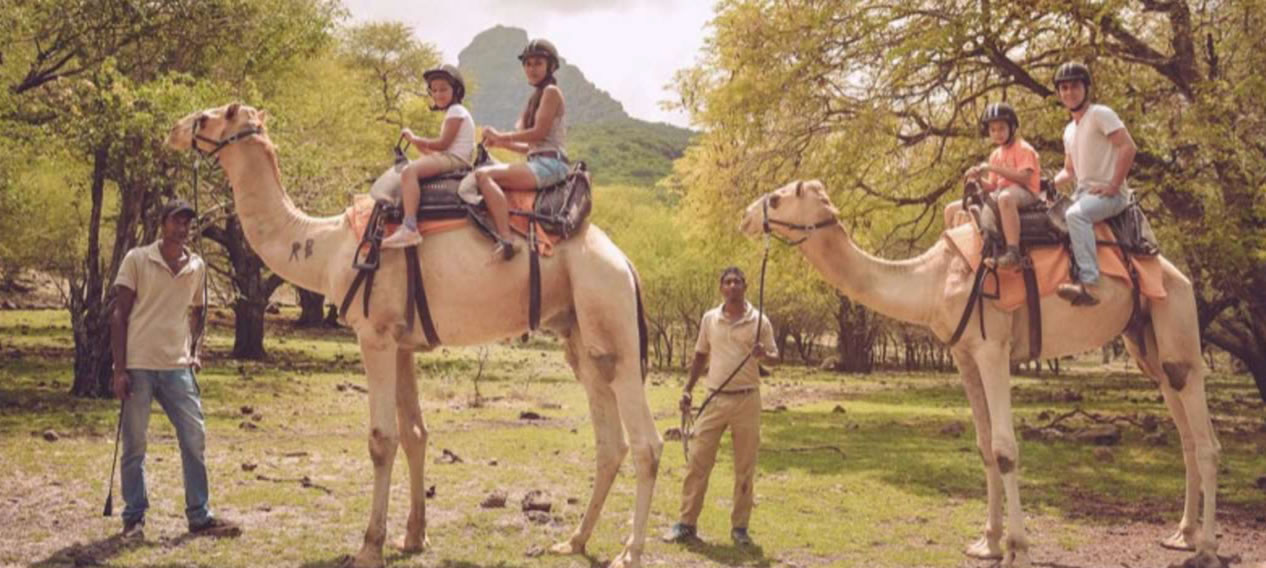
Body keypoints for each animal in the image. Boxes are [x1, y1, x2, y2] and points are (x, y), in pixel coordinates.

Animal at [163, 103, 668, 566]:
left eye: (210, 116)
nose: (174, 129)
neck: (325, 246)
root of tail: (626, 263)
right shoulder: (402, 341)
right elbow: (416, 434)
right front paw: (413, 537)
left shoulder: (375, 335)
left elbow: (381, 438)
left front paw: (370, 545)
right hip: (580, 334)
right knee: (609, 440)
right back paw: (575, 541)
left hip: (611, 313)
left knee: (647, 442)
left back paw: (629, 552)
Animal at [739, 180, 1220, 566]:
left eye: (777, 197)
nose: (745, 217)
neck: (934, 280)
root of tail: (1174, 272)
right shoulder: (964, 354)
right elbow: (985, 445)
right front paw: (987, 543)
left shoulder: (993, 348)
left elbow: (1005, 449)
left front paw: (1018, 549)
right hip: (1145, 342)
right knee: (1183, 430)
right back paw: (1181, 535)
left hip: (1177, 322)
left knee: (1205, 437)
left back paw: (1207, 549)